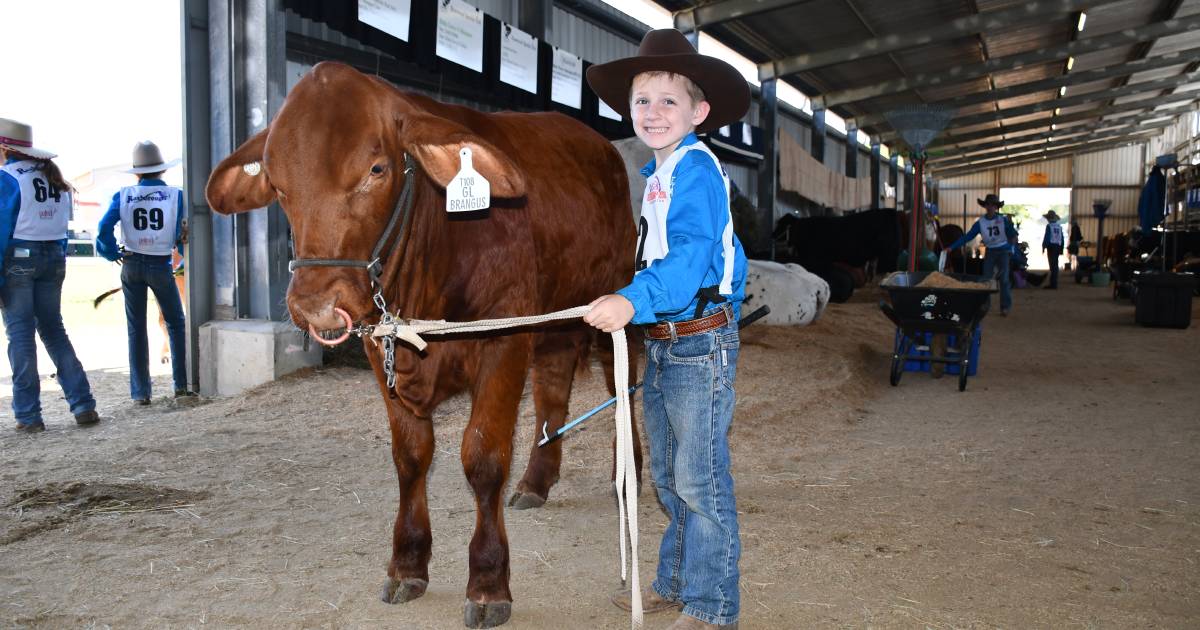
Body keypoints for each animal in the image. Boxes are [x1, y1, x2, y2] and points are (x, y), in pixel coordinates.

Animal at [208, 61, 638, 624]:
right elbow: (411, 456)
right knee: (552, 391)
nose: (317, 303)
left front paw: (488, 581)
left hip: (614, 306)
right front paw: (407, 563)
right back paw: (535, 482)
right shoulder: (382, 349)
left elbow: (483, 458)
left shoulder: (503, 341)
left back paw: (625, 476)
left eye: (377, 169)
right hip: (554, 323)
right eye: (277, 184)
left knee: (624, 391)